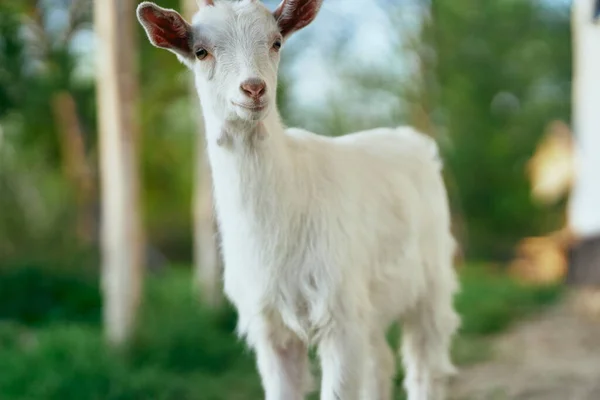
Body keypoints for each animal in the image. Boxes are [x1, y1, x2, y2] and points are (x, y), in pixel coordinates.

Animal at [138, 1, 462, 398]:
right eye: (201, 51)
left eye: (276, 42)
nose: (254, 88)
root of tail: (412, 139)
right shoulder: (270, 323)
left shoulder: (339, 311)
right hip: (369, 301)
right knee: (380, 362)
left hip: (432, 277)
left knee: (425, 363)